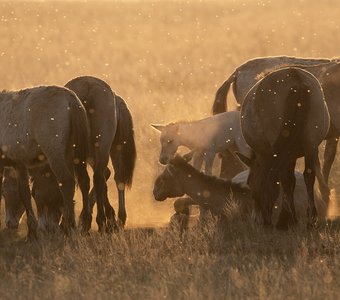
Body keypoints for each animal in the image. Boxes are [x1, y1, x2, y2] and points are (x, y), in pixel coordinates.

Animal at [0, 85, 90, 238]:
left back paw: (69, 227)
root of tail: (71, 99)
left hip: (54, 153)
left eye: (6, 193)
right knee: (84, 181)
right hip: (72, 153)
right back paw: (83, 224)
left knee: (66, 182)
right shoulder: (19, 163)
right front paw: (32, 231)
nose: (9, 223)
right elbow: (24, 191)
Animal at [236, 67, 330, 229]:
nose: (257, 220)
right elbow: (291, 180)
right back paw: (311, 219)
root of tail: (295, 78)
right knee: (309, 175)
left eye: (249, 183)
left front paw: (286, 219)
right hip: (311, 144)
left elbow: (285, 180)